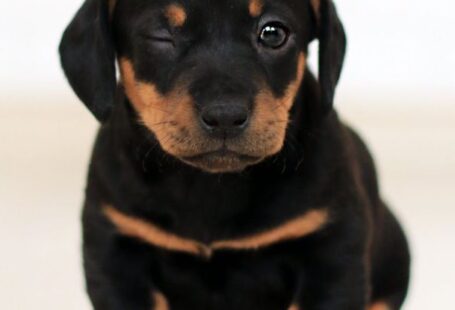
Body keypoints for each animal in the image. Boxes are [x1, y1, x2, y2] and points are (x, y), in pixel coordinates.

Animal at [58, 0, 412, 310]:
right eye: (160, 35)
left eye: (273, 33)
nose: (225, 116)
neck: (212, 185)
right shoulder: (117, 255)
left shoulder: (332, 252)